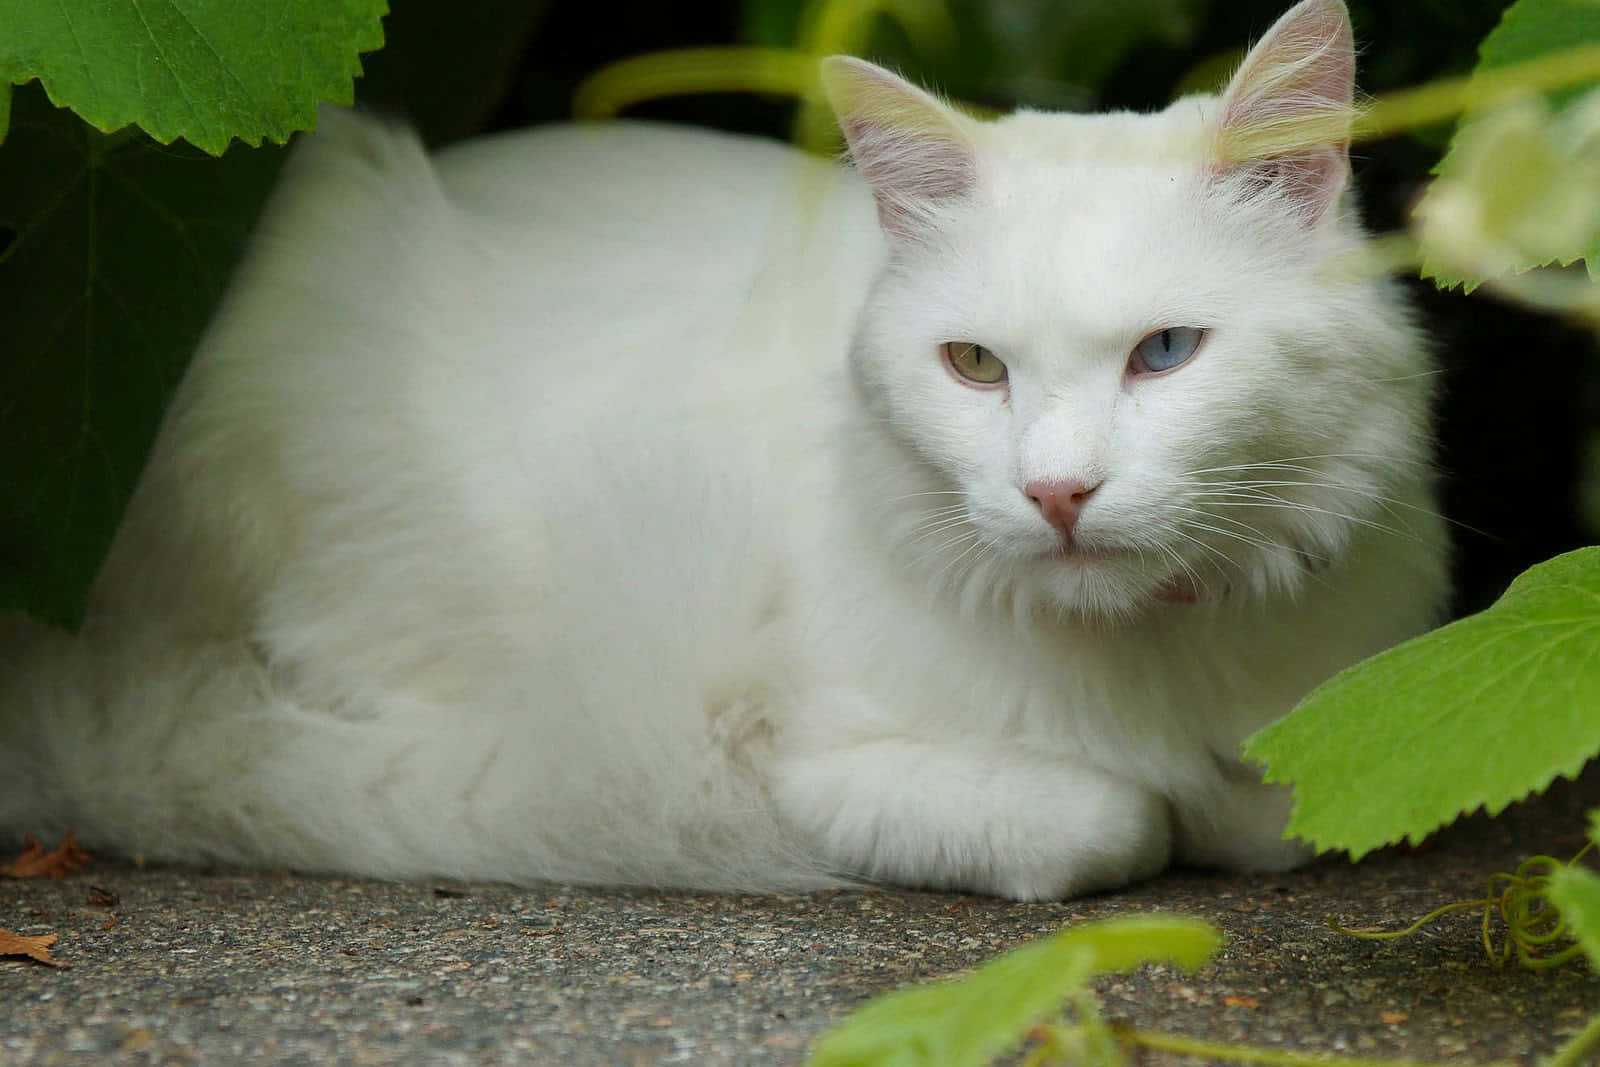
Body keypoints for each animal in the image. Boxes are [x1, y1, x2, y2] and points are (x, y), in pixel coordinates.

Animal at [0, 0, 1452, 902]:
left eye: (1166, 352)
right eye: (974, 366)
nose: (1056, 492)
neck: (1154, 662)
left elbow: (1270, 808)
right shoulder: (796, 756)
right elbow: (1113, 819)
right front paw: (1159, 810)